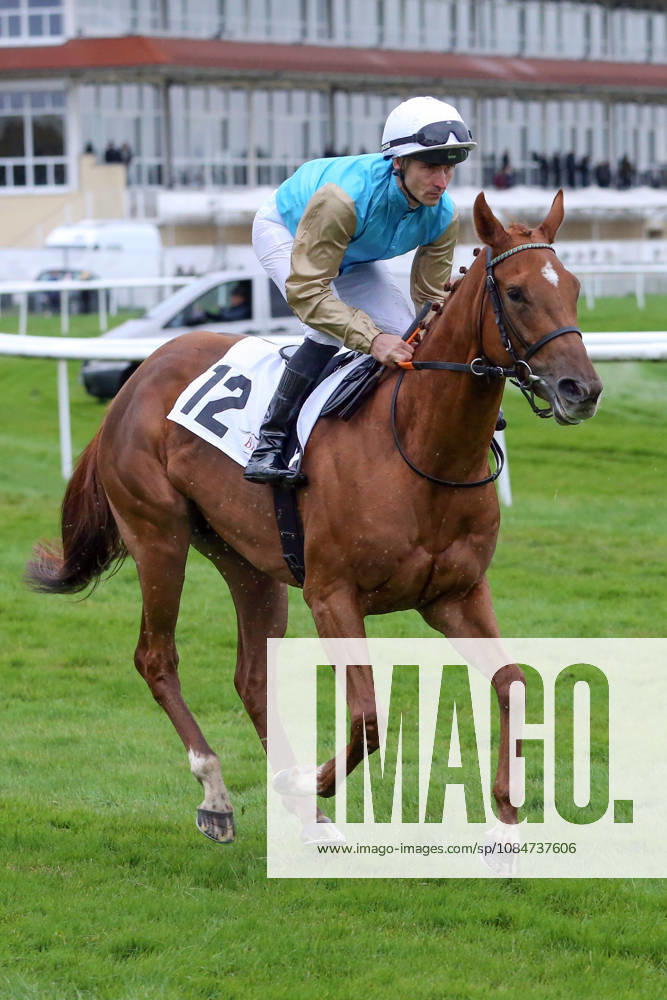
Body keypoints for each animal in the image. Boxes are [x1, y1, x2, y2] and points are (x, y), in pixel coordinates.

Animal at [27, 191, 602, 844]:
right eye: (516, 292)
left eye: (574, 287)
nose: (582, 389)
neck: (422, 449)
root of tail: (139, 375)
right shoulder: (333, 596)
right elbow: (369, 716)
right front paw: (307, 782)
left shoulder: (455, 595)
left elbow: (514, 684)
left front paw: (503, 827)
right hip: (158, 536)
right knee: (156, 657)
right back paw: (217, 793)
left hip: (247, 560)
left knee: (252, 675)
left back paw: (307, 816)